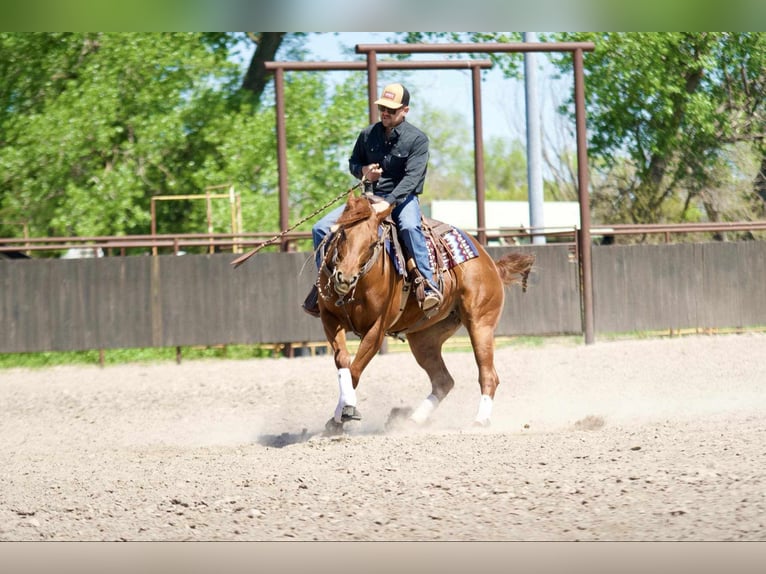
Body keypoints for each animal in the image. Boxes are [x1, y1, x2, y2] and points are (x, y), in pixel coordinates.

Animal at [316, 194, 536, 432]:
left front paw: (345, 412)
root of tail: (491, 264)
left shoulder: (376, 330)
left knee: (488, 375)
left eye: (373, 242)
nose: (345, 278)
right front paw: (336, 419)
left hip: (480, 325)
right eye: (342, 233)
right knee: (443, 380)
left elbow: (355, 370)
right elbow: (343, 362)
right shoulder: (330, 319)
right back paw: (412, 420)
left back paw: (480, 419)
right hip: (424, 339)